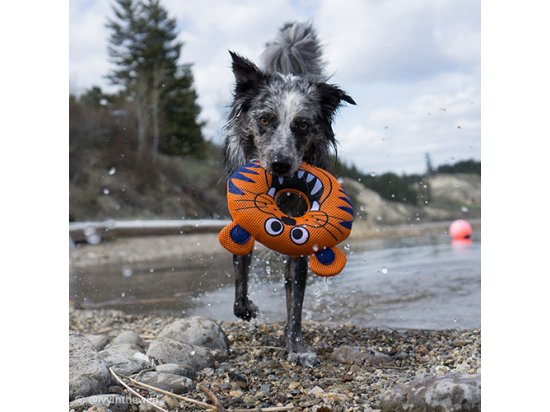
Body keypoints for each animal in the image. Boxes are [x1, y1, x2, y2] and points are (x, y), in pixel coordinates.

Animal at [224, 20, 358, 366]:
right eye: (264, 119)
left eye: (302, 125)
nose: (280, 164)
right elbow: (240, 268)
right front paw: (245, 308)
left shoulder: (302, 231)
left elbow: (295, 299)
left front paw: (296, 346)